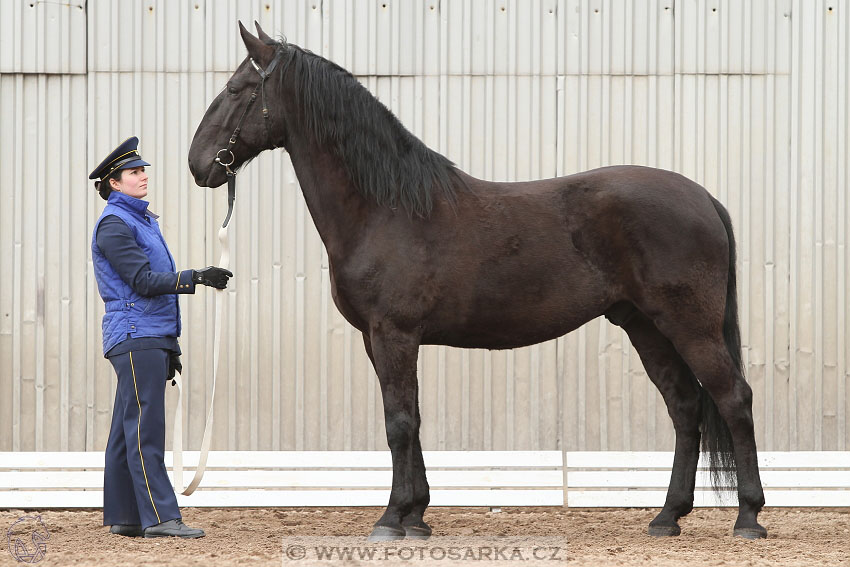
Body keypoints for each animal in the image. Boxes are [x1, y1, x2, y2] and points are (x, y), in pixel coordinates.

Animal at [187, 22, 768, 544]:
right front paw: (417, 518)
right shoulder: (380, 340)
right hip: (645, 326)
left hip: (689, 326)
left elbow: (399, 421)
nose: (197, 164)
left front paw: (391, 519)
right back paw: (667, 517)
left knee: (733, 398)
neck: (384, 208)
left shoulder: (393, 334)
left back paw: (748, 518)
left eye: (236, 89)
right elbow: (412, 418)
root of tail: (703, 198)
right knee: (685, 407)